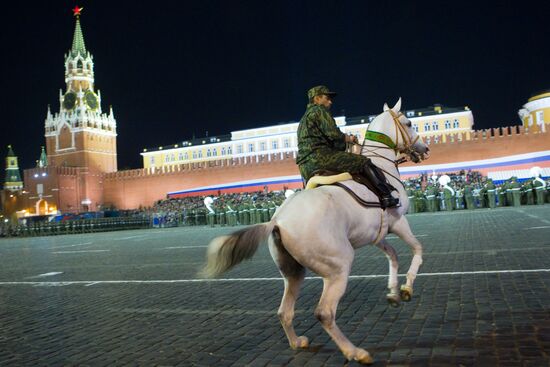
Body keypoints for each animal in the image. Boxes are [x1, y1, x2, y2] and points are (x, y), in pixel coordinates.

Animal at [203, 98, 432, 366]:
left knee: (284, 311)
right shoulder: (398, 222)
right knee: (324, 313)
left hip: (294, 273)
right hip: (338, 268)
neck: (383, 168)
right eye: (409, 123)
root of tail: (278, 220)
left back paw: (297, 342)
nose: (425, 149)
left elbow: (393, 256)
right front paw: (406, 289)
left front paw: (393, 293)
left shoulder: (376, 234)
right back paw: (356, 352)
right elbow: (417, 249)